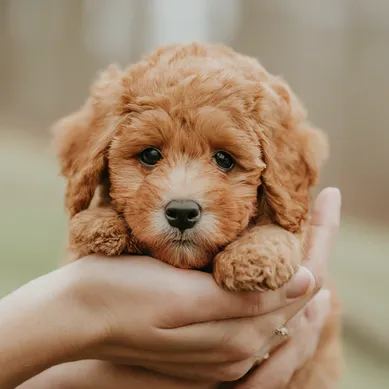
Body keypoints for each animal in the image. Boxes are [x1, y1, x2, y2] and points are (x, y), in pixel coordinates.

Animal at [52, 41, 340, 386]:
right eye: (150, 155)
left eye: (224, 159)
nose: (181, 212)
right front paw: (100, 223)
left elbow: (286, 228)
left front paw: (254, 256)